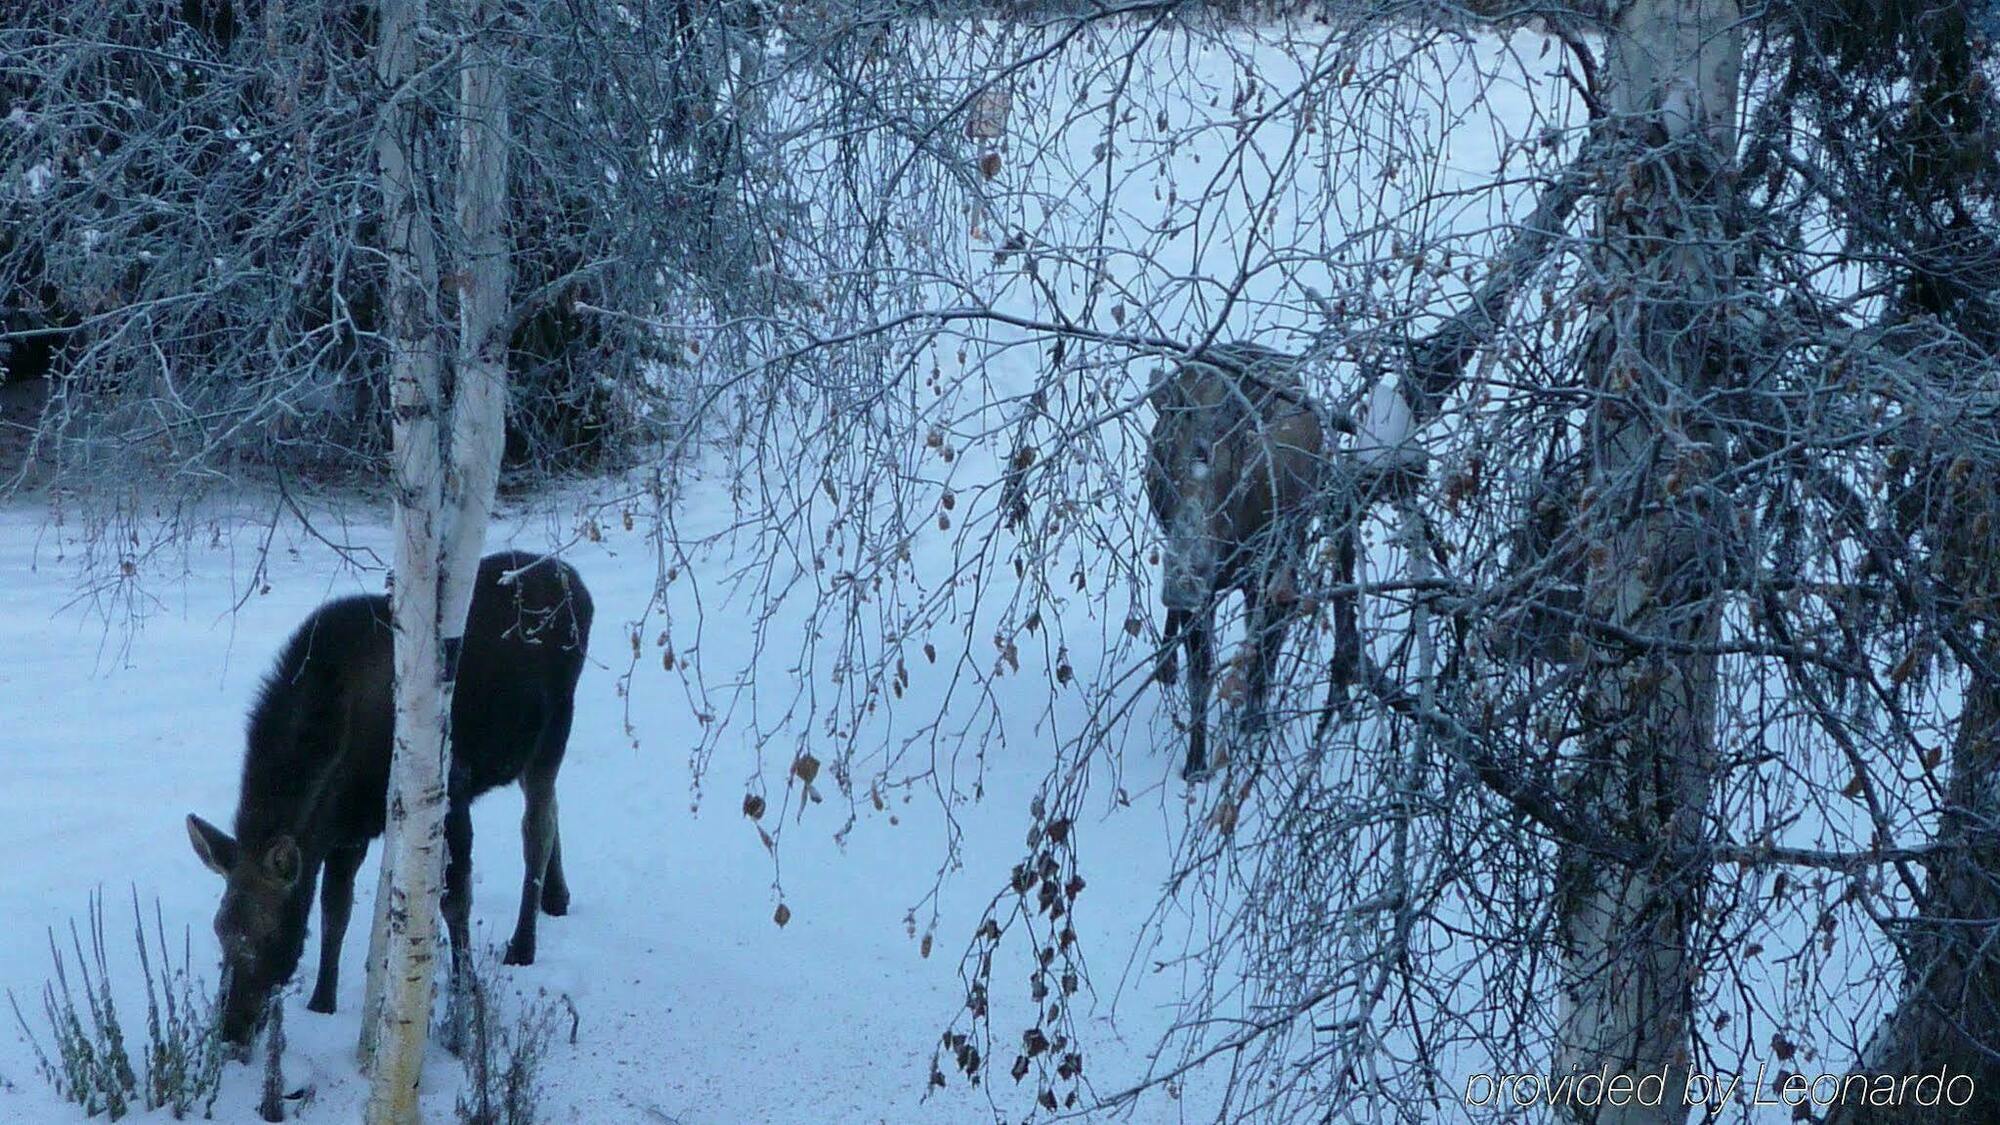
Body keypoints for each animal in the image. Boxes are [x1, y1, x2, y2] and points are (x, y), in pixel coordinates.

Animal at [185, 548, 592, 1048]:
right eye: (220, 930)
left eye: (267, 935)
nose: (231, 1029)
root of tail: (575, 581)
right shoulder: (346, 829)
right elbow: (335, 911)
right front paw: (322, 1000)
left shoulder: (451, 793)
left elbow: (454, 901)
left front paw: (464, 989)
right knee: (553, 808)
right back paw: (557, 897)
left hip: (554, 731)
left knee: (536, 826)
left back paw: (524, 942)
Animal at [1144, 342, 1360, 780]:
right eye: (1162, 459)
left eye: (1237, 465)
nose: (1183, 580)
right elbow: (1202, 672)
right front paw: (1196, 765)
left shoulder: (1273, 563)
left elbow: (1264, 646)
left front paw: (1253, 727)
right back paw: (1165, 665)